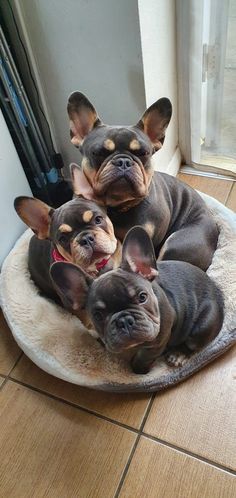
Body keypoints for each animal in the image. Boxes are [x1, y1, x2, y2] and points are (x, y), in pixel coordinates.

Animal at [49, 226, 223, 374]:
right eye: (98, 315)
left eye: (142, 297)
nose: (124, 320)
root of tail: (216, 290)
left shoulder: (157, 343)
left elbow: (143, 358)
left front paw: (138, 371)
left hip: (203, 326)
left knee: (192, 344)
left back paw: (178, 354)